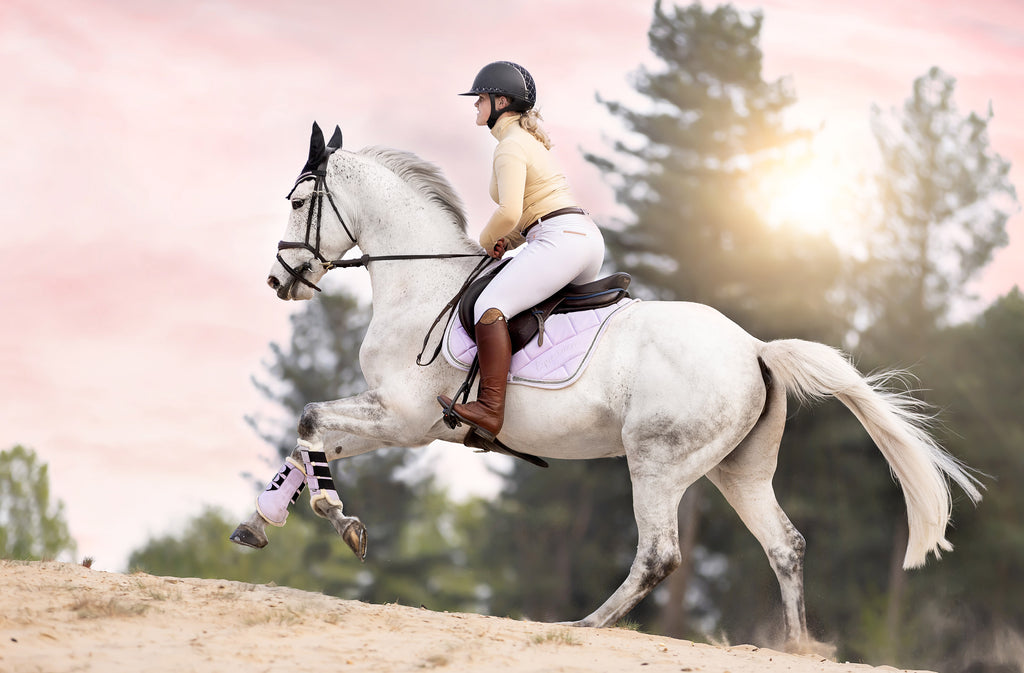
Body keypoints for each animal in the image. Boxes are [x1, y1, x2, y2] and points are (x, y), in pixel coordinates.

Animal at [232, 123, 974, 647]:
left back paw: (586, 625)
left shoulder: (406, 417)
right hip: (737, 470)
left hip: (656, 461)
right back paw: (796, 647)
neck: (422, 280)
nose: (276, 281)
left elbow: (308, 421)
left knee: (660, 554)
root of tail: (756, 349)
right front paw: (262, 521)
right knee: (783, 545)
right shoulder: (396, 418)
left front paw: (339, 518)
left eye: (298, 201)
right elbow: (307, 441)